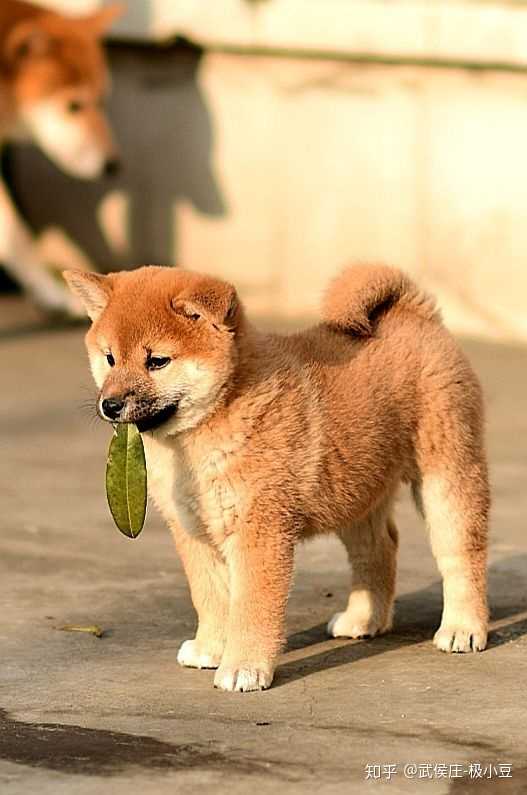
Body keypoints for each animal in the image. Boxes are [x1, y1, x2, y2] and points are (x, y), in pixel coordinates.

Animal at [65, 262, 490, 692]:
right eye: (110, 358)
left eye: (157, 361)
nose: (110, 405)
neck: (215, 418)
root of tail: (415, 312)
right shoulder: (194, 531)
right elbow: (210, 596)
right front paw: (209, 648)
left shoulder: (261, 530)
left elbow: (252, 606)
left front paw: (243, 666)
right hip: (355, 491)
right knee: (379, 549)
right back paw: (363, 620)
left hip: (445, 477)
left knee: (461, 554)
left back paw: (463, 628)